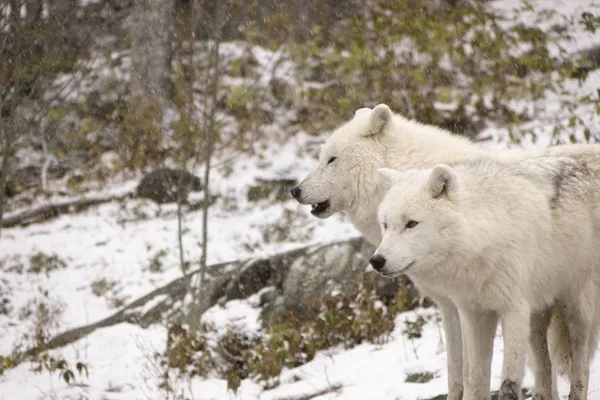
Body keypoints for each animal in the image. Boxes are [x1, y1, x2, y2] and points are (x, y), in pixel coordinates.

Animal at [370, 159, 600, 400]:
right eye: (385, 224)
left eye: (411, 224)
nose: (376, 260)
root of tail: (584, 167)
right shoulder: (473, 314)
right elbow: (474, 377)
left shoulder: (514, 311)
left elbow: (508, 384)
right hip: (536, 318)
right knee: (544, 363)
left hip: (576, 310)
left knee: (581, 363)